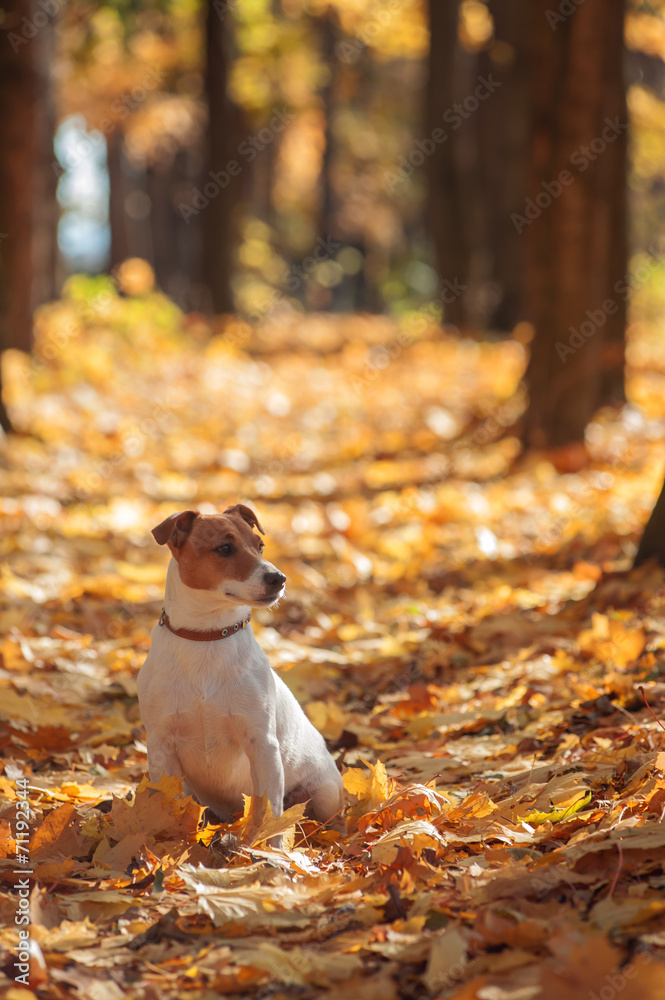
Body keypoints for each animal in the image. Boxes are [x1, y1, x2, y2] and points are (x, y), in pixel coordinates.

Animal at [135, 504, 342, 832]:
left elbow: (266, 815)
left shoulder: (262, 745)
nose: (279, 578)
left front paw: (262, 843)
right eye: (224, 548)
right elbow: (173, 809)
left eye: (260, 546)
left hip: (324, 794)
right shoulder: (160, 745)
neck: (207, 637)